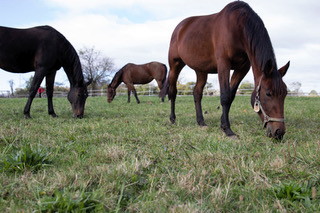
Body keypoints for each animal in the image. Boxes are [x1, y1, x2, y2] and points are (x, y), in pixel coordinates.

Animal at [160, 2, 290, 141]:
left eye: (285, 93)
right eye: (268, 93)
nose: (278, 132)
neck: (237, 27)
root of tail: (180, 28)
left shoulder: (242, 68)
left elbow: (231, 96)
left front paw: (223, 123)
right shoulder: (224, 64)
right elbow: (225, 96)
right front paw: (228, 130)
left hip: (201, 70)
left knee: (197, 93)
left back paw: (201, 122)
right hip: (175, 65)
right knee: (173, 92)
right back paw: (173, 119)